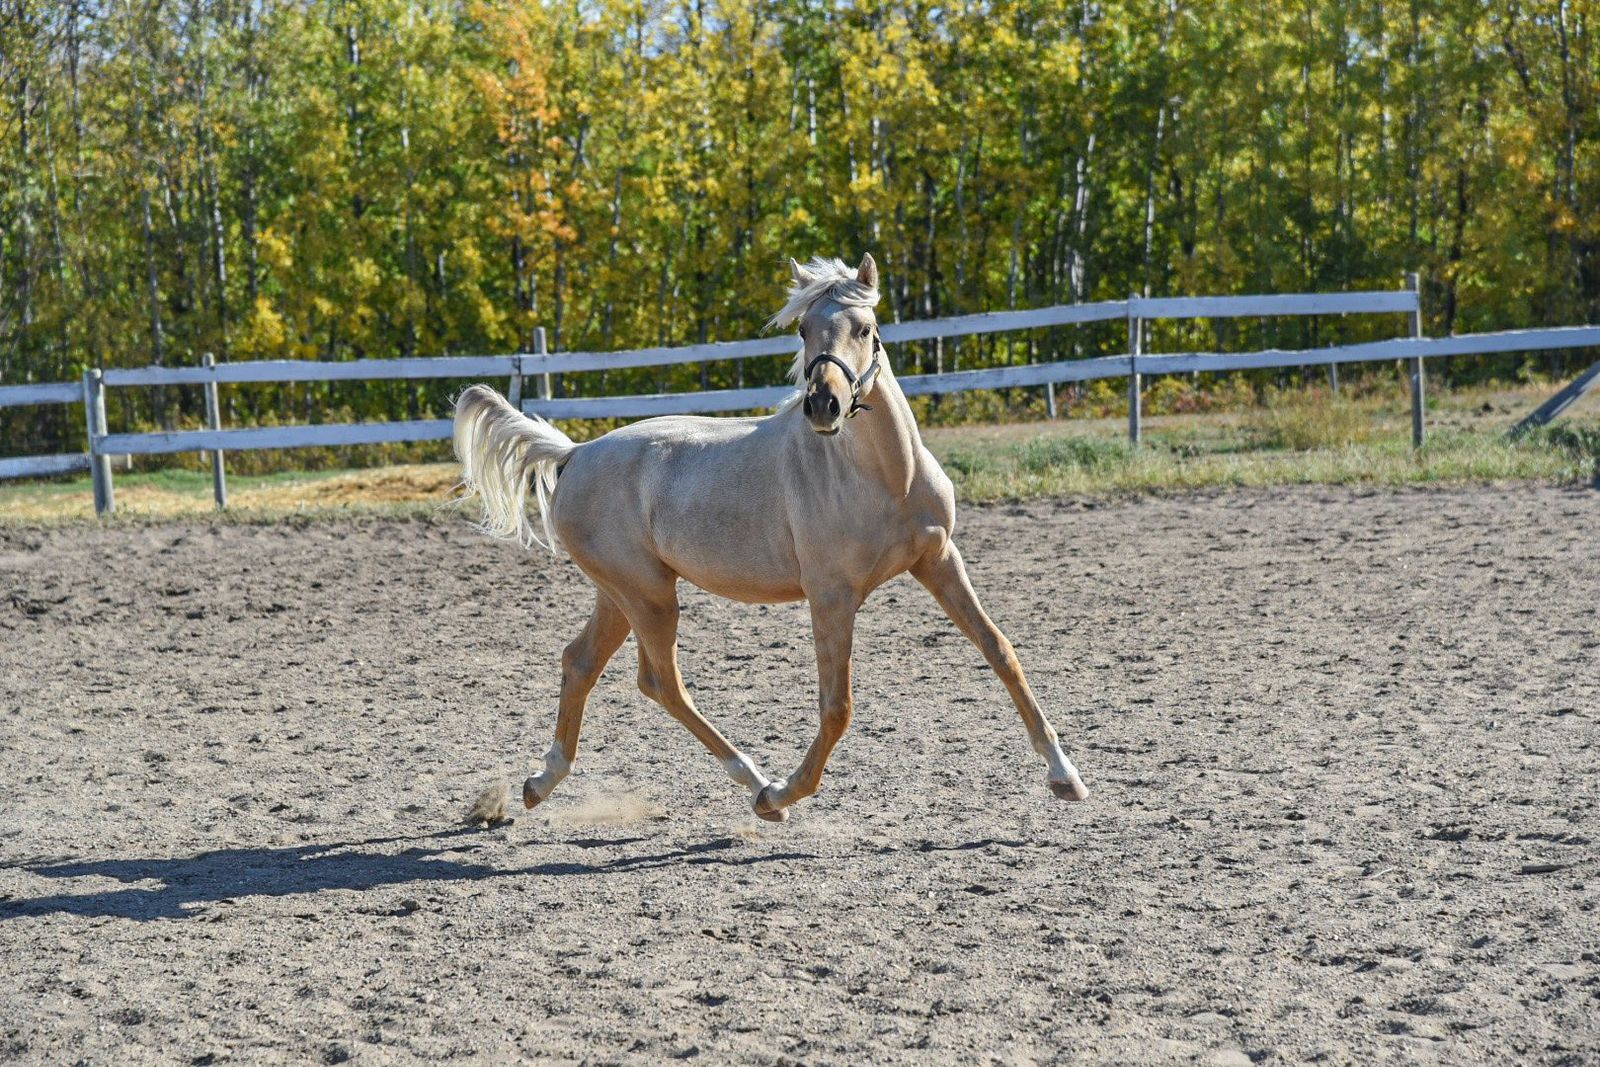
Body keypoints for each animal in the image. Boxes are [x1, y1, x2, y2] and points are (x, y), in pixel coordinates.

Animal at [452, 253, 1090, 822]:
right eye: (805, 329)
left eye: (865, 328)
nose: (824, 404)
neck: (886, 478)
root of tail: (574, 453)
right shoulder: (831, 596)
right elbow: (837, 707)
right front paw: (785, 793)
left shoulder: (938, 559)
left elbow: (1000, 650)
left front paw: (1066, 776)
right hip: (648, 596)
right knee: (661, 682)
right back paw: (755, 782)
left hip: (623, 594)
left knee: (581, 662)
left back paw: (539, 784)